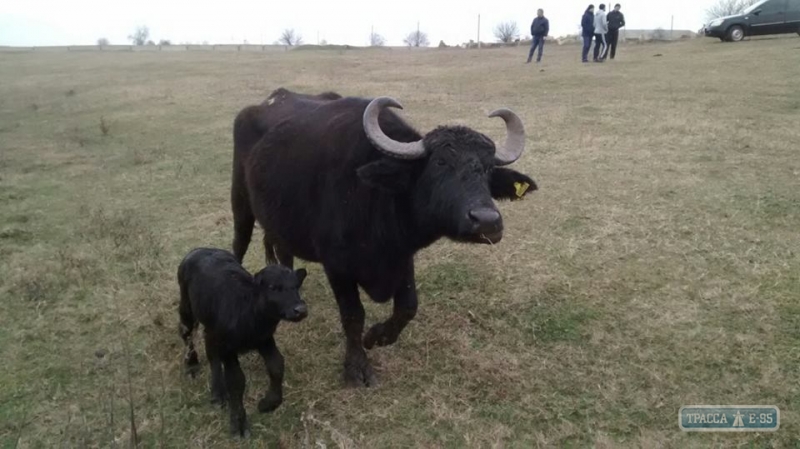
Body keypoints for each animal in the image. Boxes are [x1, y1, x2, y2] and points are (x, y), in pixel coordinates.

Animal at [177, 247, 308, 436]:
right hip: (187, 307)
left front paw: (268, 403)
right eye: (273, 287)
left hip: (211, 327)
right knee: (186, 332)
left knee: (210, 350)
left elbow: (277, 365)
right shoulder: (228, 348)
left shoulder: (264, 339)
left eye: (296, 286)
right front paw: (238, 423)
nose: (300, 310)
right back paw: (193, 365)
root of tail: (200, 250)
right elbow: (236, 381)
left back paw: (217, 392)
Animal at [230, 87, 536, 384]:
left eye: (488, 169)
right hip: (241, 202)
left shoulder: (402, 255)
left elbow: (408, 307)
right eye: (439, 164)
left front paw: (377, 337)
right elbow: (353, 315)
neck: (374, 199)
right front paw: (356, 367)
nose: (486, 221)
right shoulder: (336, 265)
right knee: (239, 243)